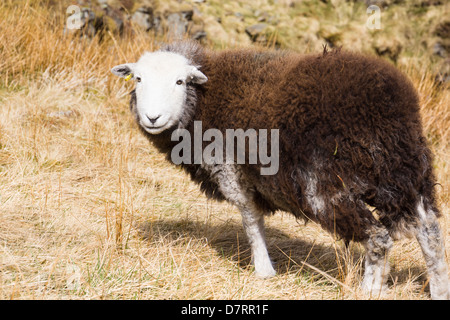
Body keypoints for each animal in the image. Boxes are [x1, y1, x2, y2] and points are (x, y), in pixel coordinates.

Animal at [110, 40, 448, 300]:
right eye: (138, 79)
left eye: (179, 82)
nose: (152, 118)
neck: (203, 102)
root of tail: (391, 105)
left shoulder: (231, 172)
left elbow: (250, 220)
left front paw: (263, 271)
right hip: (407, 174)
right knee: (430, 233)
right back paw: (439, 289)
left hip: (326, 187)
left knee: (379, 237)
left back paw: (369, 290)